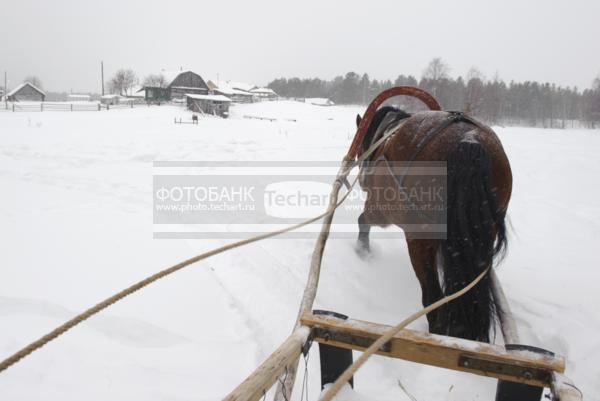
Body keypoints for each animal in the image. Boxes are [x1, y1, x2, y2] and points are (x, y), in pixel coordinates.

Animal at [354, 102, 512, 340]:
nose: (363, 178)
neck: (386, 137)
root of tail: (470, 140)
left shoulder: (380, 209)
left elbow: (363, 220)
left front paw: (362, 251)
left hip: (417, 237)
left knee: (433, 300)